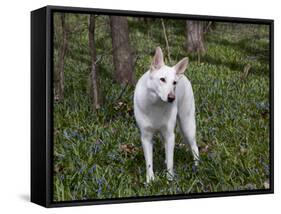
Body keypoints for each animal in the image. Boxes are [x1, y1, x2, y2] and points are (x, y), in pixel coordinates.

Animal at [134, 46, 198, 182]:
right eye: (162, 79)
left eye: (174, 83)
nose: (172, 98)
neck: (155, 104)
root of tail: (183, 76)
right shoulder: (146, 137)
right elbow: (149, 162)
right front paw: (150, 180)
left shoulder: (170, 135)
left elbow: (170, 161)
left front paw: (169, 179)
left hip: (187, 125)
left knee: (194, 147)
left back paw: (197, 167)